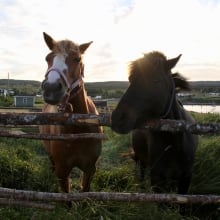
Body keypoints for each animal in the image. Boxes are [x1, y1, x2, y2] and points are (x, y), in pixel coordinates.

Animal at [40, 32, 102, 194]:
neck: (78, 129)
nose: (51, 88)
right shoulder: (62, 172)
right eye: (47, 58)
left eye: (78, 59)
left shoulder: (89, 169)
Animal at [111, 52, 199, 194]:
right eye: (130, 79)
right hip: (141, 161)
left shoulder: (186, 179)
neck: (174, 143)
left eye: (156, 80)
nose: (117, 118)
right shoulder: (157, 179)